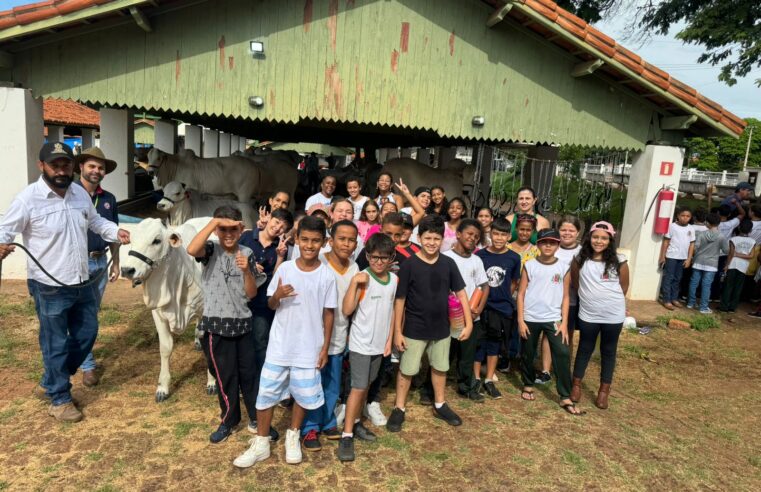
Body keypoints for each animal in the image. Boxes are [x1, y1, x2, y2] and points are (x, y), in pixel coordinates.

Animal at [120, 217, 217, 402]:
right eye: (132, 239)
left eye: (156, 240)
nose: (127, 270)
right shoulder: (158, 312)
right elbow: (165, 348)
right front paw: (162, 388)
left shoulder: (206, 311)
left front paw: (212, 382)